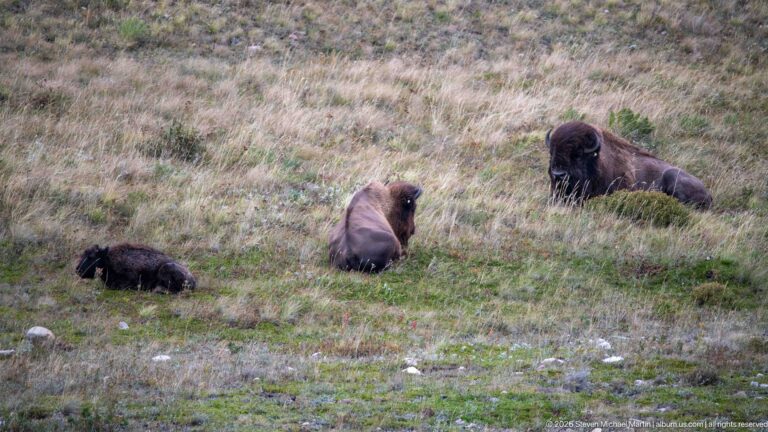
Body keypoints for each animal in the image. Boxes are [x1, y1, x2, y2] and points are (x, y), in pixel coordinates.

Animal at [546, 121, 712, 208]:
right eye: (552, 152)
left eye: (578, 155)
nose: (558, 175)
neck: (597, 162)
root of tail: (709, 193)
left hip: (673, 177)